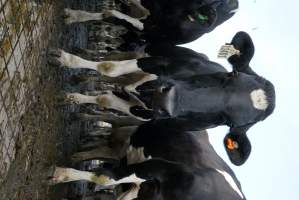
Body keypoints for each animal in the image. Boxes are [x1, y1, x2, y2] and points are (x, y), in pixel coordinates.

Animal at [49, 31, 276, 166]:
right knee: (112, 61)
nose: (166, 100)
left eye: (225, 121)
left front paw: (73, 99)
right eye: (230, 75)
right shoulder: (151, 62)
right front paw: (65, 60)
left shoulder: (142, 112)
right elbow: (109, 67)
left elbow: (107, 98)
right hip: (141, 52)